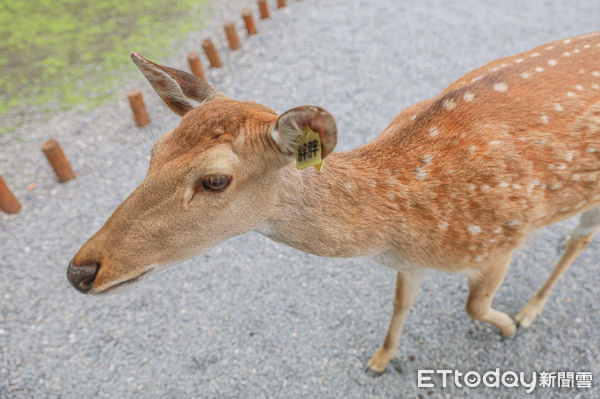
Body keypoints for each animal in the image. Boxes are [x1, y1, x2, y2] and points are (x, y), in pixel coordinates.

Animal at [67, 32, 600, 376]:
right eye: (154, 151)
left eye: (215, 180)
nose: (79, 271)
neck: (401, 225)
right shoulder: (410, 261)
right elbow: (401, 300)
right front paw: (381, 360)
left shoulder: (500, 238)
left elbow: (474, 305)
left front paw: (507, 327)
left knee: (580, 236)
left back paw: (528, 312)